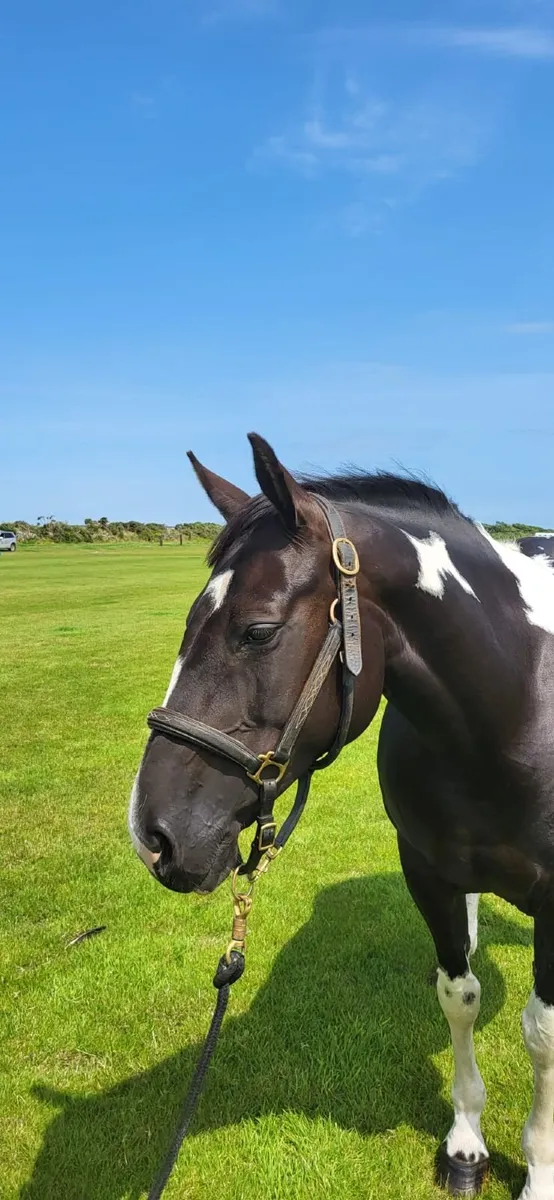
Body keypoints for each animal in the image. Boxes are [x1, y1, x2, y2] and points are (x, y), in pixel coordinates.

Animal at [129, 433, 554, 1200]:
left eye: (257, 631)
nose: (152, 834)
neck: (523, 702)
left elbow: (542, 1033)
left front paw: (539, 1170)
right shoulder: (430, 875)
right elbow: (460, 994)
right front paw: (466, 1144)